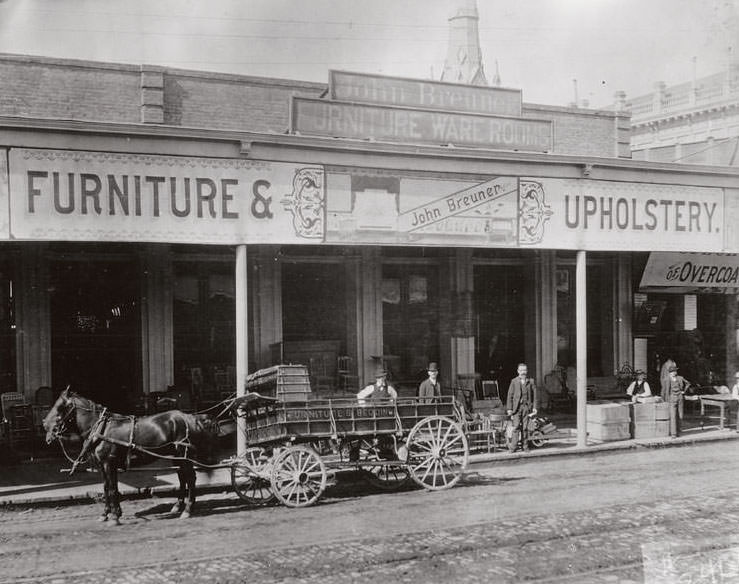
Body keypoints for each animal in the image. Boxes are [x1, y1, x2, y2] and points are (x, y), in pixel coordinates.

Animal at [43, 390, 220, 524]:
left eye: (60, 407)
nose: (45, 424)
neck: (101, 428)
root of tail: (192, 417)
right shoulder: (103, 466)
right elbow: (107, 488)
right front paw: (106, 514)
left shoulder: (109, 463)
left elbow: (112, 489)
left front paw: (115, 517)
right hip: (176, 455)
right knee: (182, 477)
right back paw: (178, 506)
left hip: (184, 456)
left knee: (190, 478)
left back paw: (188, 510)